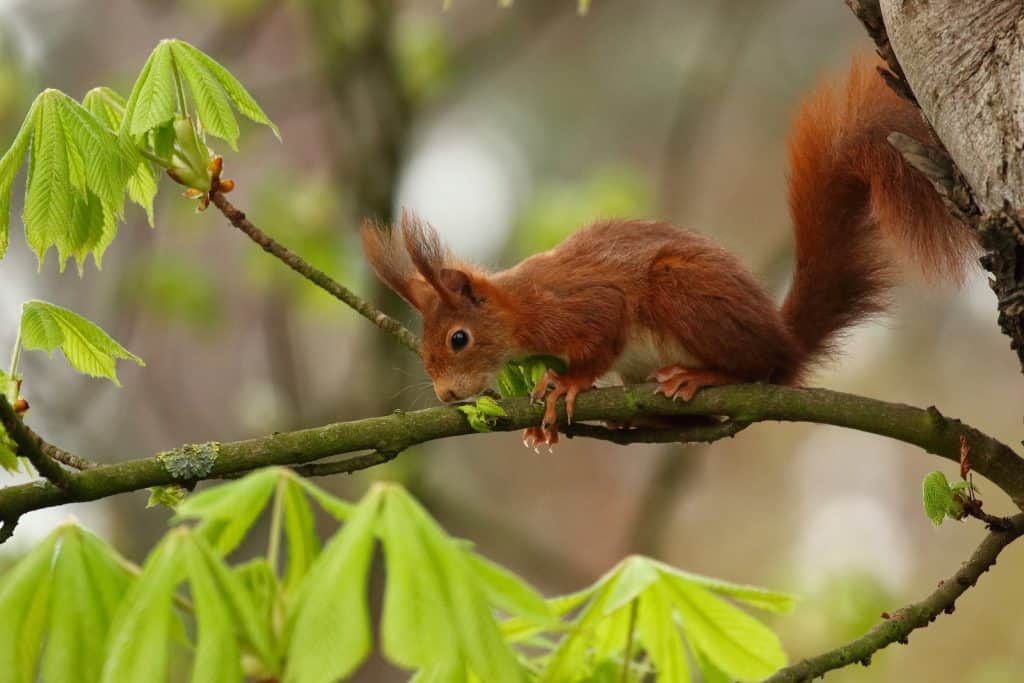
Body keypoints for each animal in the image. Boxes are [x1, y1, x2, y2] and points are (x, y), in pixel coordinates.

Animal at [361, 58, 978, 448]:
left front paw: (569, 384)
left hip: (680, 292)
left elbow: (600, 336)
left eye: (458, 339)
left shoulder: (581, 305)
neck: (519, 308)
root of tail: (786, 341)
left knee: (757, 368)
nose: (446, 395)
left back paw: (700, 377)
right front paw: (543, 418)